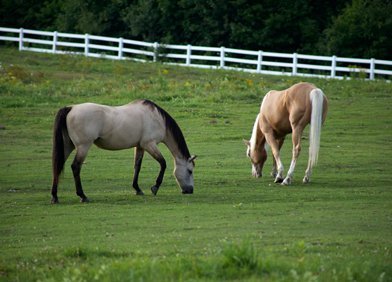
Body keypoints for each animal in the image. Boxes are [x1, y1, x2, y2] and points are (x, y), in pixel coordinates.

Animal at [51, 99, 196, 203]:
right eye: (190, 171)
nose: (190, 190)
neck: (156, 118)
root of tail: (71, 108)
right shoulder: (149, 144)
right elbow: (163, 163)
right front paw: (155, 187)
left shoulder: (140, 146)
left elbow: (137, 166)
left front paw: (137, 189)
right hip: (83, 146)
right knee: (75, 167)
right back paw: (82, 196)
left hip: (68, 146)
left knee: (58, 166)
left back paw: (55, 197)